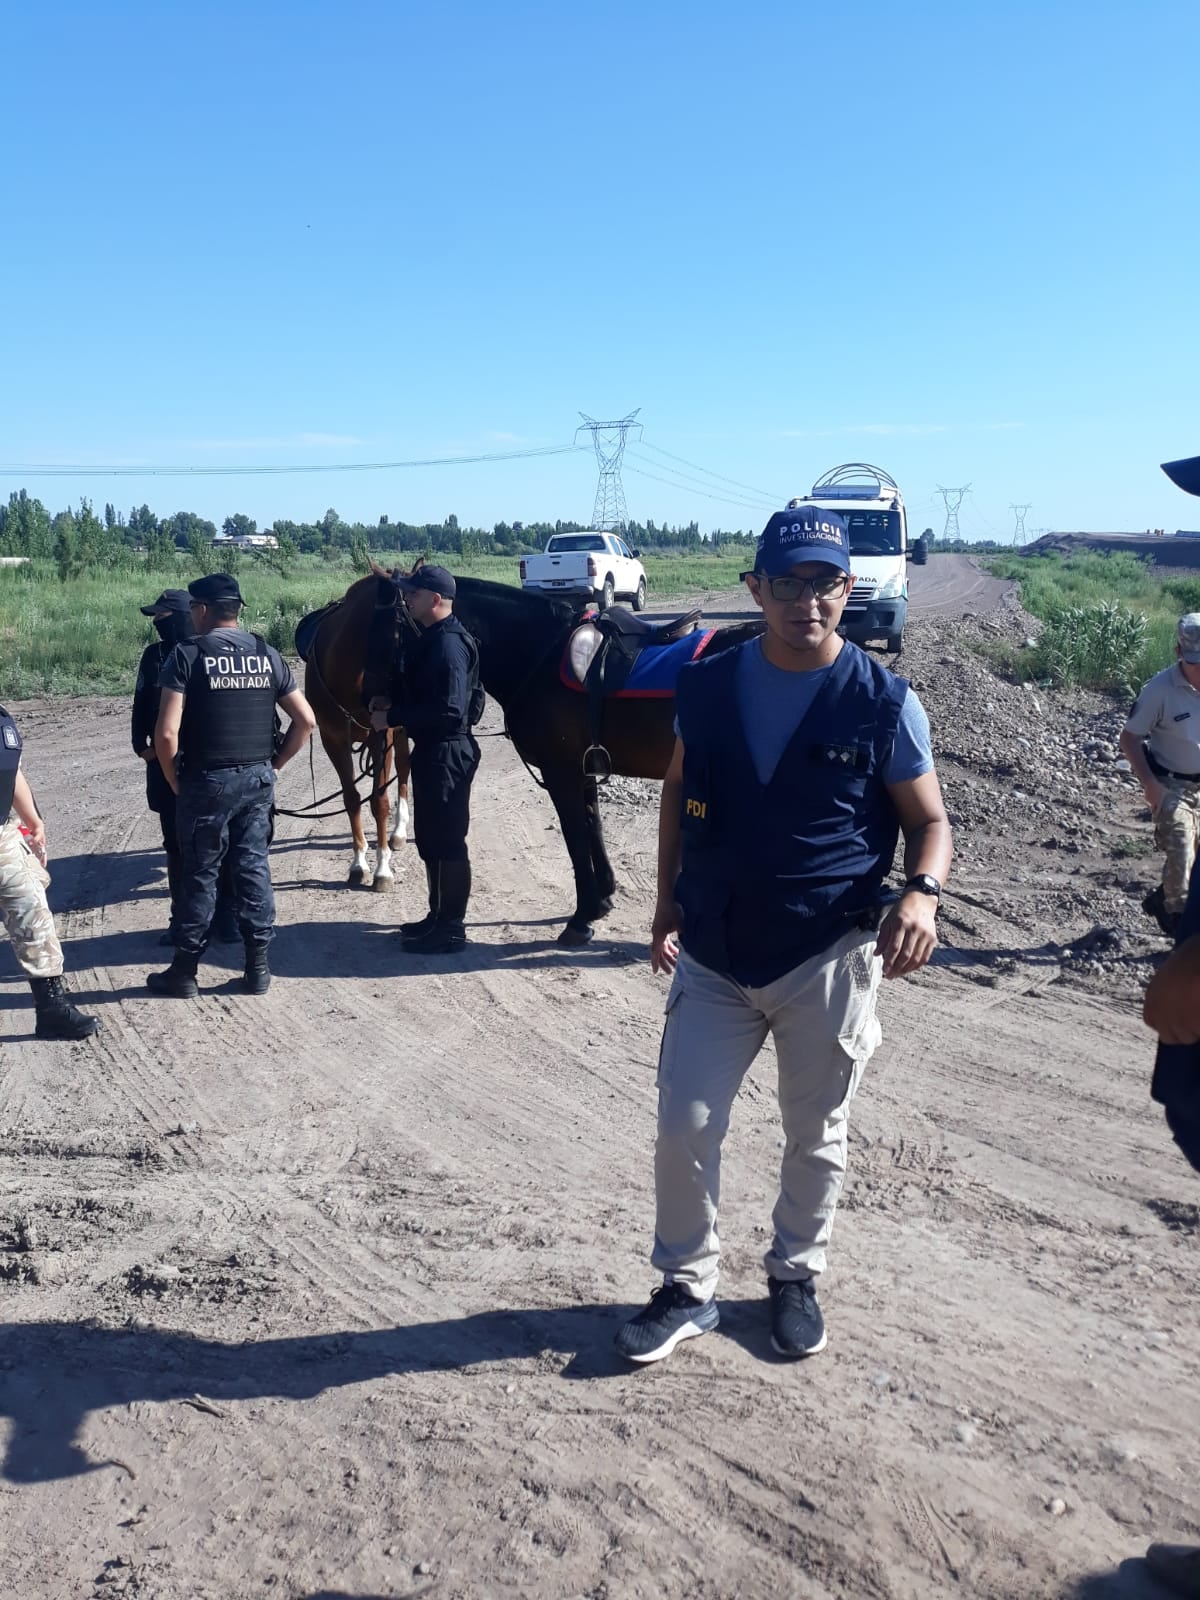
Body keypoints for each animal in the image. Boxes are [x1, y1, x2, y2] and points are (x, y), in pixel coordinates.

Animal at [300, 572, 412, 889]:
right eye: (403, 629)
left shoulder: (381, 736)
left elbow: (380, 801)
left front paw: (382, 868)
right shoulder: (332, 738)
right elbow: (351, 799)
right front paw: (359, 863)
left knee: (404, 767)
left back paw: (398, 831)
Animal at [380, 563, 764, 934]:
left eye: (383, 621)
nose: (378, 702)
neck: (539, 655)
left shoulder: (560, 772)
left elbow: (575, 835)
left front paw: (583, 915)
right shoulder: (586, 766)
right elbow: (593, 826)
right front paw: (605, 897)